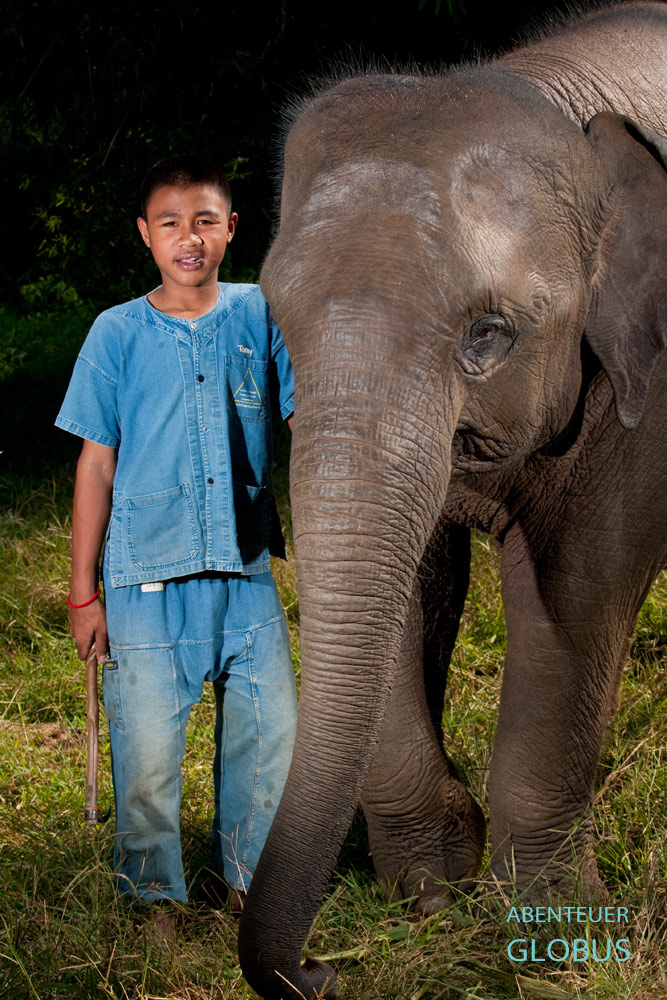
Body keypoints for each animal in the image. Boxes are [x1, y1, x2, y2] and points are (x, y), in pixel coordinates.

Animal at [238, 3, 667, 998]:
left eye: (489, 333)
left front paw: (554, 930)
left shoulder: (644, 387)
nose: (322, 969)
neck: (550, 89)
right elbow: (409, 587)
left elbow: (578, 588)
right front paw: (433, 891)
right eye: (277, 324)